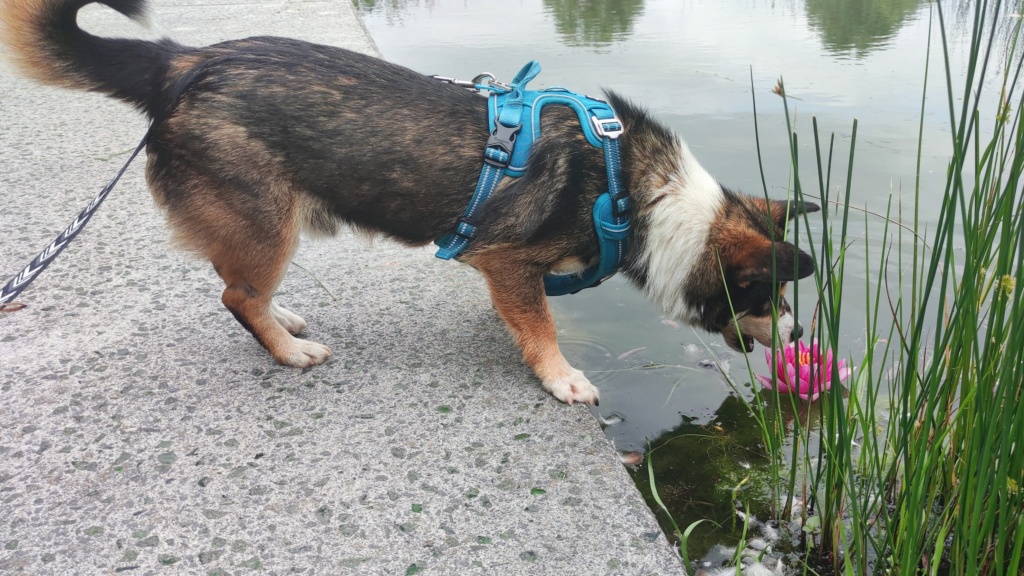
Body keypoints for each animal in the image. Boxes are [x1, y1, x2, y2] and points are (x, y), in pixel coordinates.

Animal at [0, 0, 815, 403]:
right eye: (766, 295)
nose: (802, 337)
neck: (642, 193)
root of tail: (184, 61)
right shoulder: (507, 257)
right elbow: (543, 327)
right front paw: (559, 376)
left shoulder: (510, 271)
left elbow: (527, 315)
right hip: (266, 223)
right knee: (236, 294)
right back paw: (288, 350)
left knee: (241, 287)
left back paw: (283, 318)